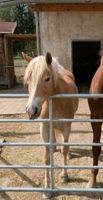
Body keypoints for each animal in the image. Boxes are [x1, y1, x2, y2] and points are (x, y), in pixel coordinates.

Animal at [22, 52, 78, 198]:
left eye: (47, 79)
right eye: (28, 80)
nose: (31, 110)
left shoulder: (66, 127)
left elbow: (65, 149)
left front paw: (64, 176)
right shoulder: (45, 128)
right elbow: (47, 157)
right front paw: (47, 186)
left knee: (65, 146)